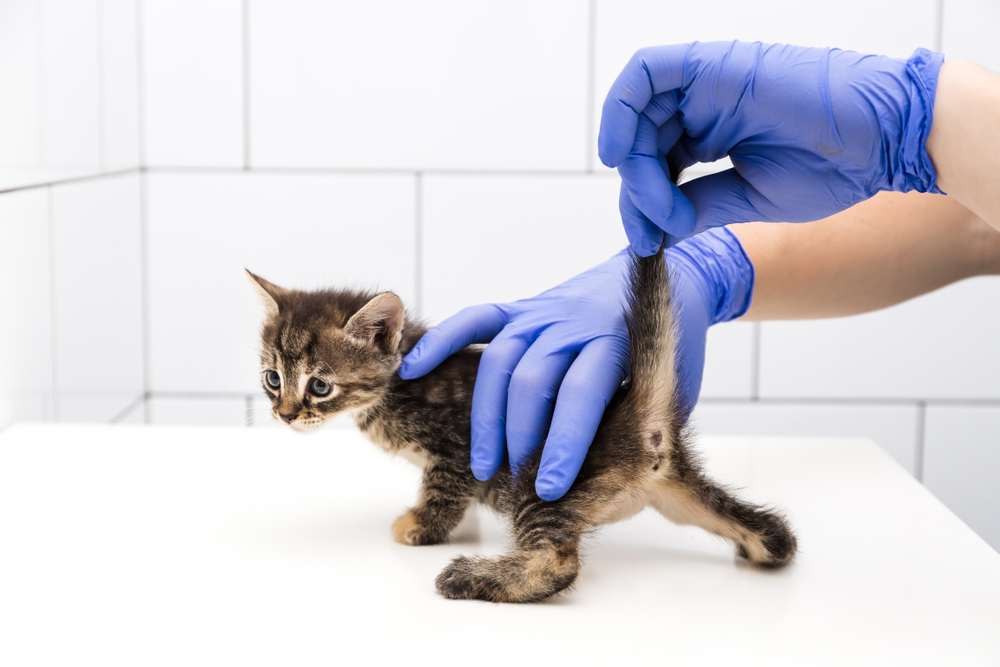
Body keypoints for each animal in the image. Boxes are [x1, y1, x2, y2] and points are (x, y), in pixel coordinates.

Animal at [248, 248, 796, 604]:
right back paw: (762, 545)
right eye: (273, 379)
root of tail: (643, 420)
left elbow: (443, 491)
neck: (393, 385)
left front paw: (422, 527)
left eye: (320, 386)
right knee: (773, 533)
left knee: (558, 562)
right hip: (674, 490)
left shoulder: (457, 448)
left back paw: (470, 578)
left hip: (539, 477)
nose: (285, 414)